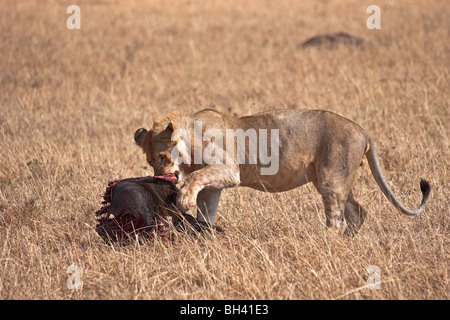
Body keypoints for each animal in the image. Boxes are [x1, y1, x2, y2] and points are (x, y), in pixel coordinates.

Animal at [133, 109, 428, 234]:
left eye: (163, 157)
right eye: (149, 161)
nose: (159, 177)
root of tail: (362, 130)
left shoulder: (229, 169)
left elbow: (196, 177)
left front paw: (183, 200)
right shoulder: (214, 186)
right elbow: (207, 211)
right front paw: (204, 234)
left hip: (331, 179)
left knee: (337, 218)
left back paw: (327, 241)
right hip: (332, 179)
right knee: (358, 211)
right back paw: (349, 242)